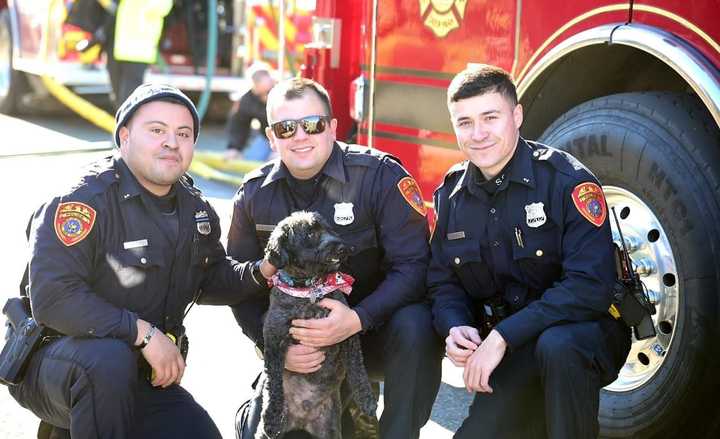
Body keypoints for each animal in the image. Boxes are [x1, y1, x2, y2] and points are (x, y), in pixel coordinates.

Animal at [258, 211, 376, 438]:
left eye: (330, 228)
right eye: (310, 233)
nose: (343, 247)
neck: (309, 290)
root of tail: (302, 421)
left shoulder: (346, 332)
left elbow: (357, 368)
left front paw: (367, 399)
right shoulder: (274, 339)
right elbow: (273, 381)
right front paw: (271, 416)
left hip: (330, 428)